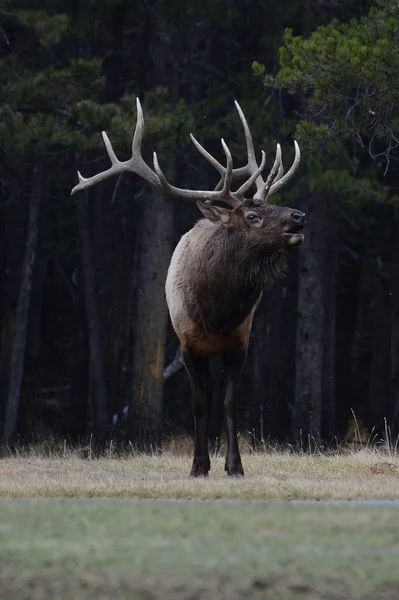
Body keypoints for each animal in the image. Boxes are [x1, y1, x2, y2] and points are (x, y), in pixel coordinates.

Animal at [72, 102, 304, 478]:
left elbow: (229, 401)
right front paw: (198, 465)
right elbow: (199, 404)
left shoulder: (240, 341)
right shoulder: (187, 345)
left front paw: (234, 465)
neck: (218, 312)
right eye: (252, 216)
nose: (299, 216)